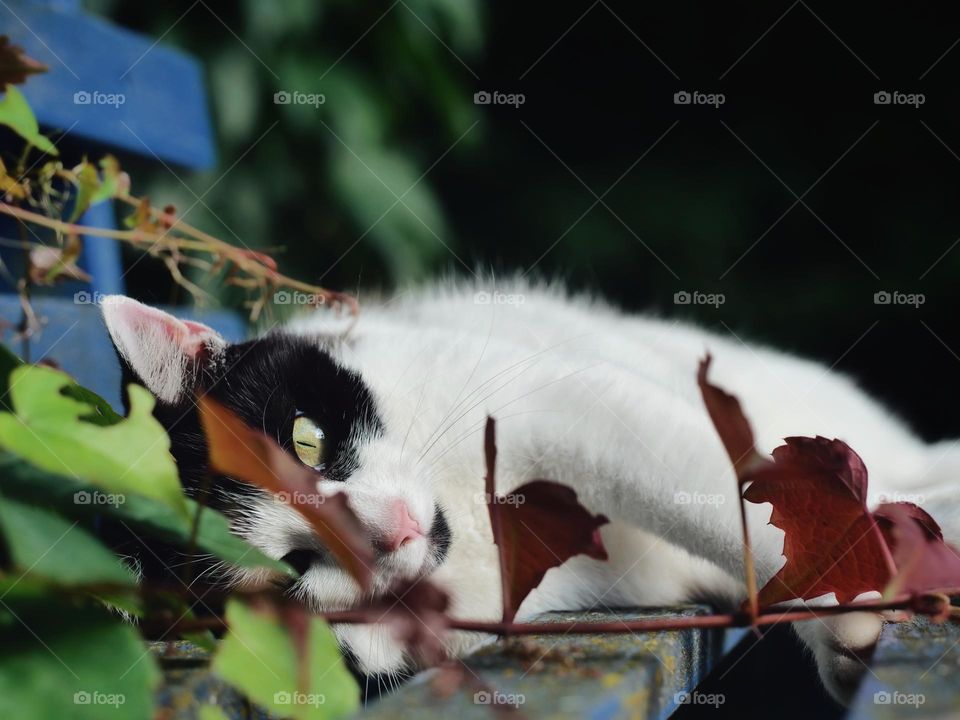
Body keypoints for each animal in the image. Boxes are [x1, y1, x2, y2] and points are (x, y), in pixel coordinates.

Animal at [99, 282, 960, 704]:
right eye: (291, 572)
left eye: (306, 440)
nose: (394, 530)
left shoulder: (570, 408)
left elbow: (724, 494)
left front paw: (849, 593)